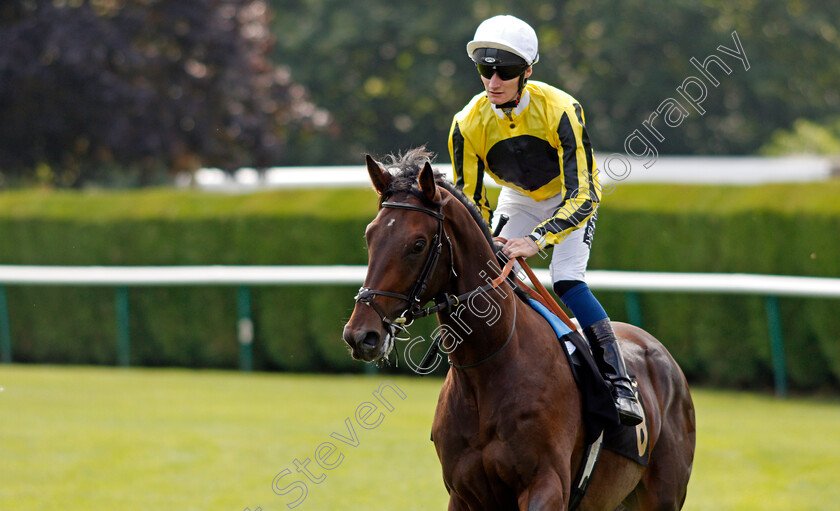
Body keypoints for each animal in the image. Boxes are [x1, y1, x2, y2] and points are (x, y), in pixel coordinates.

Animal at [342, 149, 696, 511]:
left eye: (418, 244)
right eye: (370, 236)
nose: (360, 335)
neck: (489, 368)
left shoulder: (547, 484)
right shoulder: (462, 492)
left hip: (663, 496)